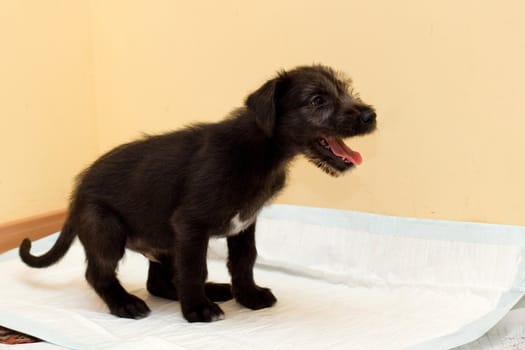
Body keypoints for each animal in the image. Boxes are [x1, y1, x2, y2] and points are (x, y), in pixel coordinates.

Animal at [18, 65, 374, 322]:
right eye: (317, 100)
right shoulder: (191, 226)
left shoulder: (244, 226)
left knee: (159, 283)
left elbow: (244, 261)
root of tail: (75, 192)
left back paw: (212, 290)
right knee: (99, 274)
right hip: (106, 230)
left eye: (346, 90)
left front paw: (248, 296)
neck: (260, 151)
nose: (370, 114)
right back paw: (126, 303)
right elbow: (193, 268)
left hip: (162, 242)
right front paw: (197, 310)